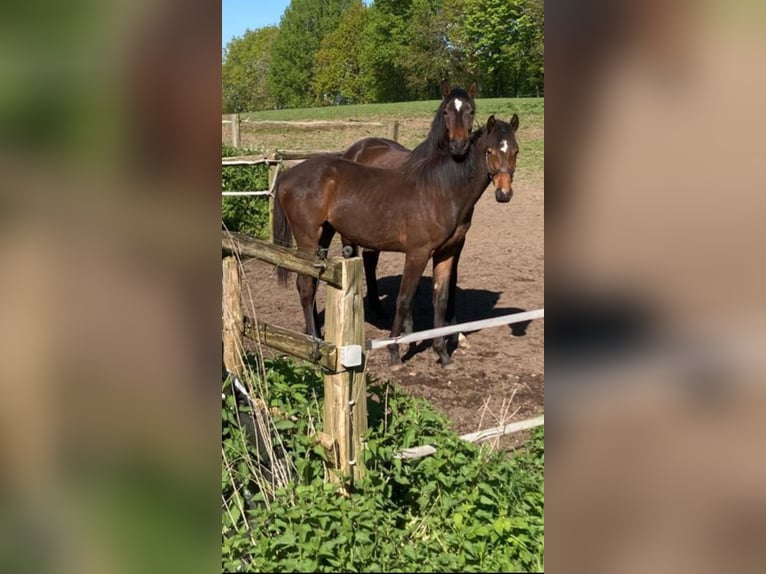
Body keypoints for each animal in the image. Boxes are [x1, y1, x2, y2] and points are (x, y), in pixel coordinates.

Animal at [272, 115, 520, 368]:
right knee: (305, 286)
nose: (504, 194)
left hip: (325, 235)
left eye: (515, 151)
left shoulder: (446, 253)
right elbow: (404, 299)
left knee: (312, 282)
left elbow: (440, 300)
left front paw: (443, 354)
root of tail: (287, 176)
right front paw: (394, 354)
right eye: (490, 151)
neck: (441, 191)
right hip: (307, 238)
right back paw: (314, 343)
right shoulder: (418, 253)